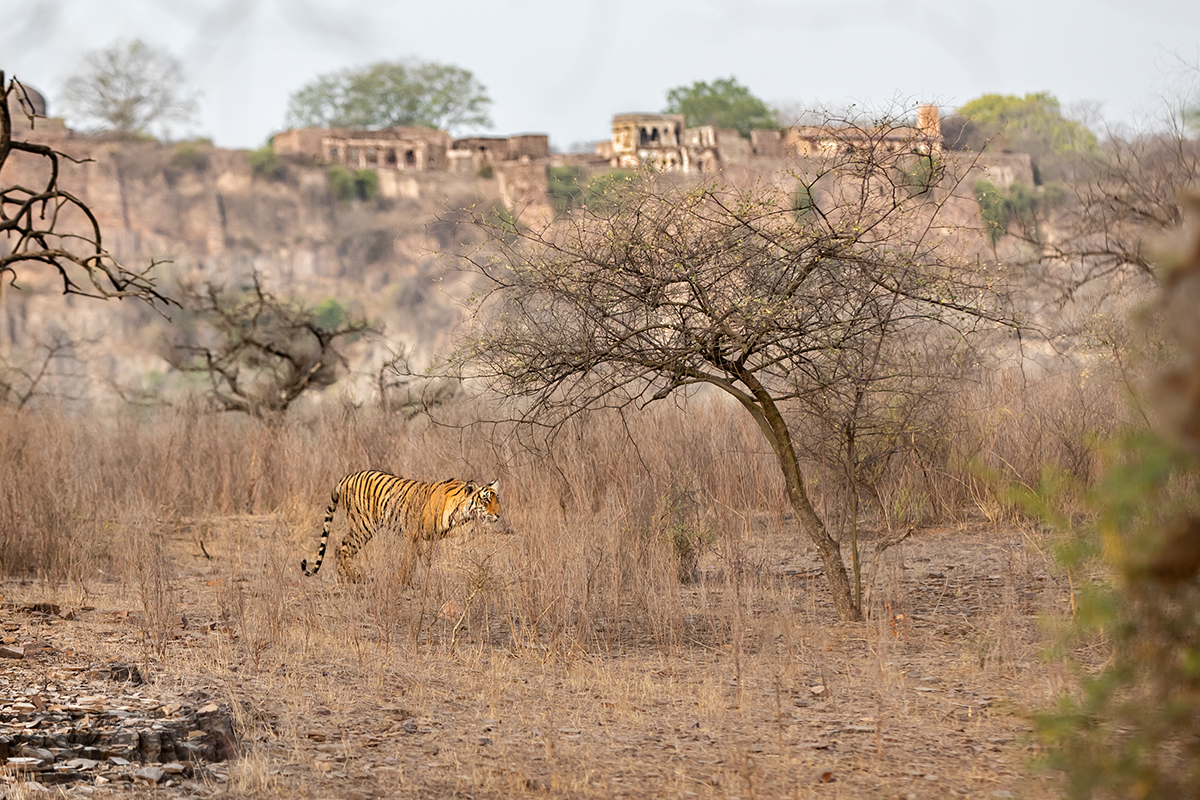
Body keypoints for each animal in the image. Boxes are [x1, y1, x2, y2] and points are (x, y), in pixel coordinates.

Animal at [304, 470, 506, 587]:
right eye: (485, 500)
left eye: (497, 499)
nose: (499, 515)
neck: (461, 515)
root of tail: (347, 477)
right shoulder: (414, 534)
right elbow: (408, 560)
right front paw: (402, 582)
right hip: (364, 525)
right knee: (341, 547)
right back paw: (354, 578)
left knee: (340, 548)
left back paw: (345, 578)